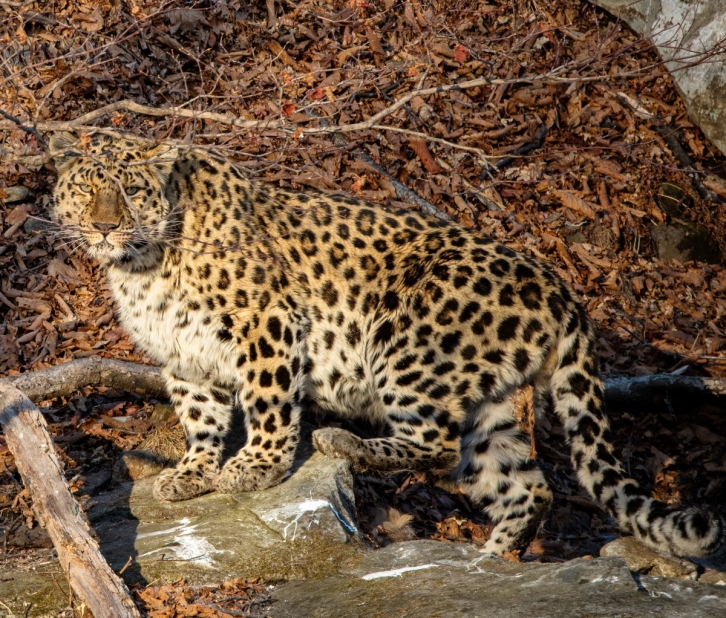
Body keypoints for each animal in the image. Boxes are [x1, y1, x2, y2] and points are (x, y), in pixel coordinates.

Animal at [48, 132, 724, 556]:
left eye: (132, 191)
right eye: (87, 190)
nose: (105, 226)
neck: (142, 265)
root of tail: (562, 289)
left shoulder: (266, 323)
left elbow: (267, 403)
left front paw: (257, 466)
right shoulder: (185, 358)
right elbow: (201, 419)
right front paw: (191, 472)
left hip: (407, 340)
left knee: (434, 441)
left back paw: (342, 441)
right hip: (488, 398)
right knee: (523, 482)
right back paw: (489, 562)